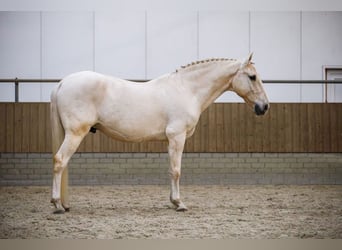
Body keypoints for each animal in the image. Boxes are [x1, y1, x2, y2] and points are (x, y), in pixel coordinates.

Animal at [51, 52, 270, 213]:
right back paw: (57, 204)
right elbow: (176, 170)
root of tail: (63, 82)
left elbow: (171, 170)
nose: (264, 107)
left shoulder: (170, 140)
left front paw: (173, 201)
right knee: (60, 161)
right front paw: (179, 203)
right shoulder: (177, 136)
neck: (186, 89)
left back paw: (65, 204)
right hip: (75, 134)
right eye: (252, 77)